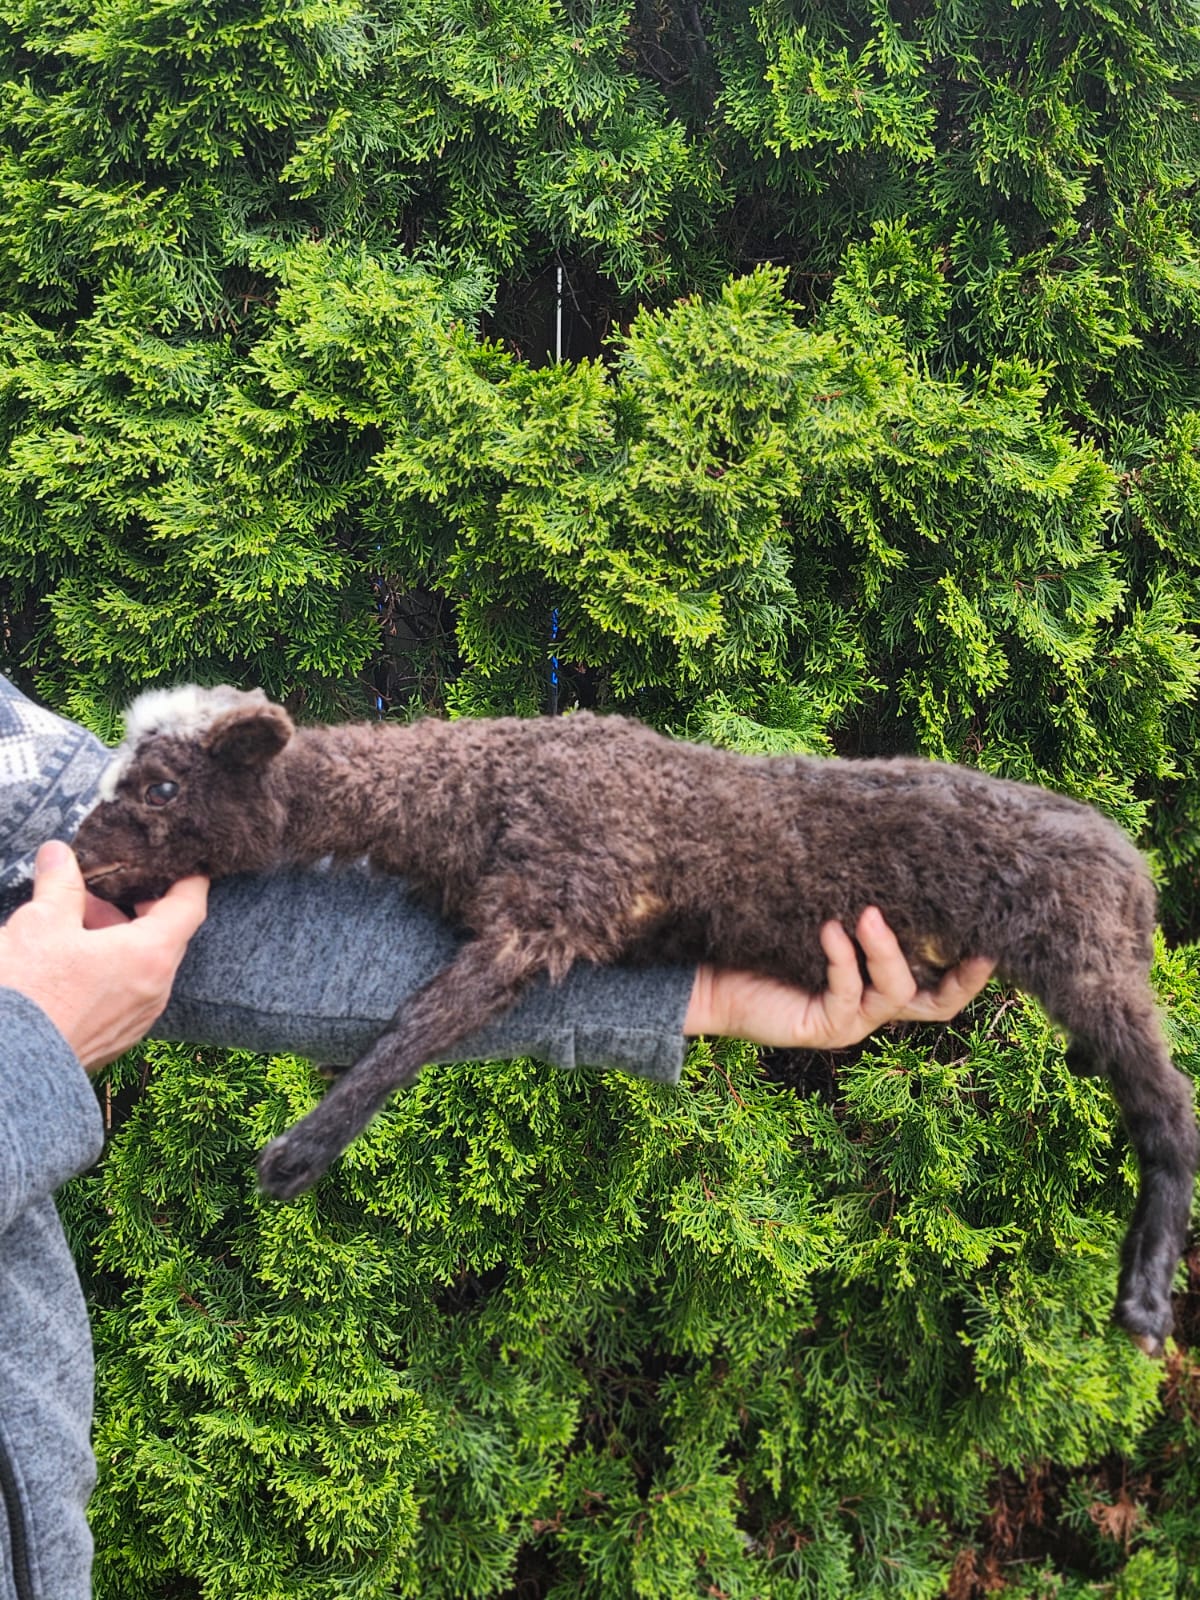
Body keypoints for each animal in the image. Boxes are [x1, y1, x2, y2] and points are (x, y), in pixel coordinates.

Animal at [72, 683, 1198, 1356]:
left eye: (163, 783)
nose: (75, 862)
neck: (473, 793)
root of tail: (1134, 870)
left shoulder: (552, 908)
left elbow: (417, 1028)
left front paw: (299, 1154)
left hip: (1090, 963)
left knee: (1170, 1111)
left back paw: (1145, 1300)